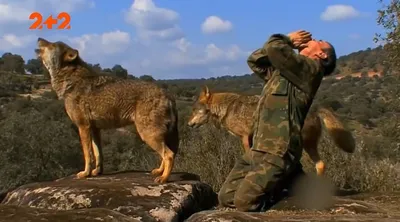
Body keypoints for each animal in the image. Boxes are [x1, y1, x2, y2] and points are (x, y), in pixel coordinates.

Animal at [186, 86, 354, 176]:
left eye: (194, 111)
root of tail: (315, 107)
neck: (227, 108)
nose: (188, 124)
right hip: (308, 146)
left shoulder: (245, 137)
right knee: (321, 165)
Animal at [219, 29, 338, 212]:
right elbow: (257, 63)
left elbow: (277, 49)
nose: (313, 38)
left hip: (273, 162)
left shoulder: (302, 66)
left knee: (244, 196)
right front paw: (295, 39)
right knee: (227, 193)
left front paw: (292, 38)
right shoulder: (271, 71)